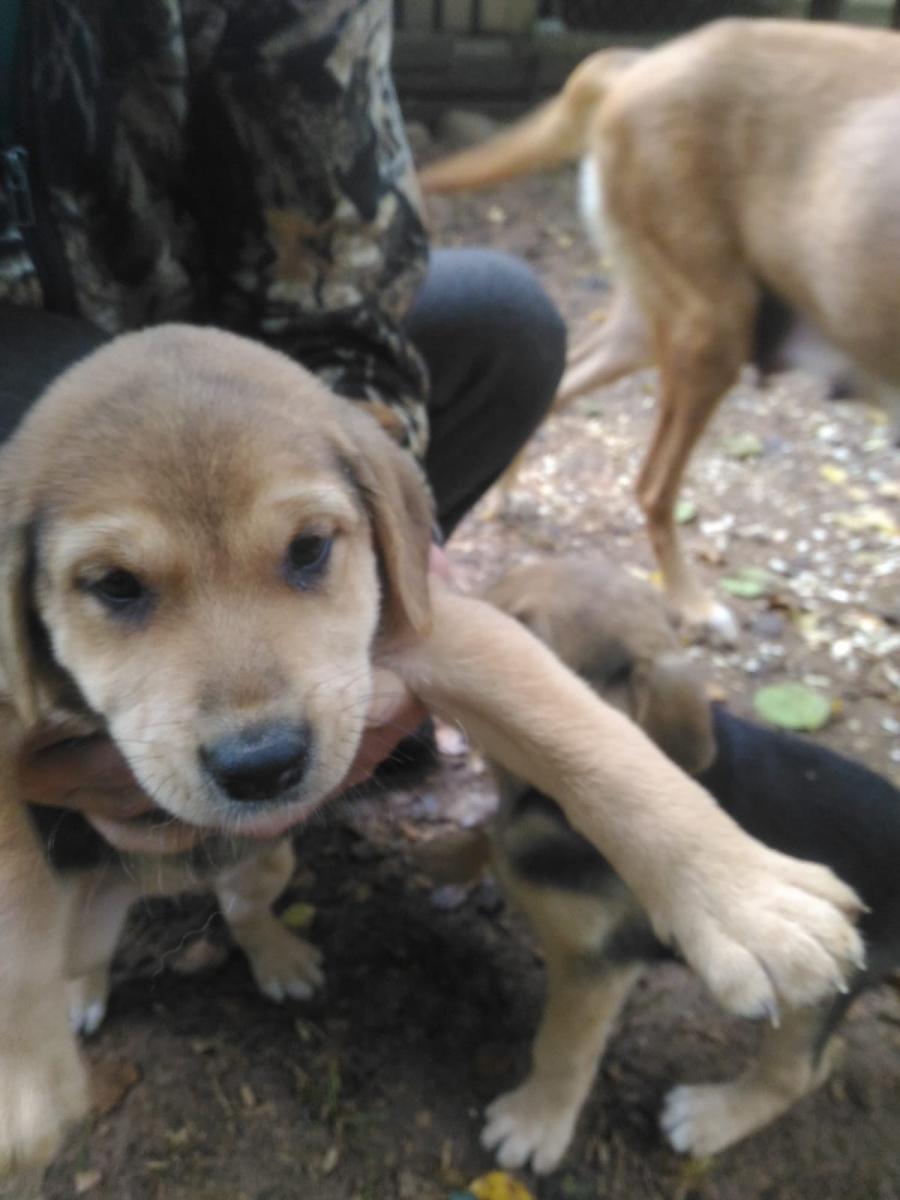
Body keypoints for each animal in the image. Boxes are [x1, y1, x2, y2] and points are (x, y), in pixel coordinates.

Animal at [420, 19, 900, 642]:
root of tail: (642, 60)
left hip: (655, 326)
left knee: (564, 384)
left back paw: (510, 492)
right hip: (712, 329)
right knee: (652, 487)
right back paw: (692, 604)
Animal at [477, 554, 900, 1172]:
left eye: (521, 632)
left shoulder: (597, 963)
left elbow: (562, 1048)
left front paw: (535, 1123)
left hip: (824, 982)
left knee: (799, 1073)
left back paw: (709, 1117)